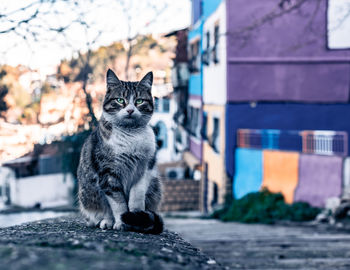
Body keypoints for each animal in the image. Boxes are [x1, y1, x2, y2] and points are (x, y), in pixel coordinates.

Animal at [76, 68, 163, 233]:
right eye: (120, 100)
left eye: (139, 101)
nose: (130, 110)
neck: (131, 136)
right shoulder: (108, 174)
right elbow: (118, 203)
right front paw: (122, 221)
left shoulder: (144, 169)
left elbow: (137, 197)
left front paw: (136, 217)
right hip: (89, 193)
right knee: (102, 211)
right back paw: (106, 221)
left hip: (155, 185)